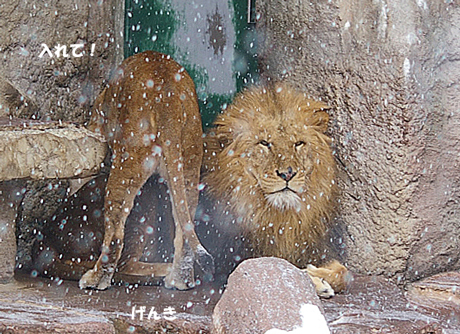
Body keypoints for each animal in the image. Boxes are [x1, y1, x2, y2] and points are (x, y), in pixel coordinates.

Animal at [78, 49, 215, 290]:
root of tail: (168, 94)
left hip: (130, 156)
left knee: (115, 231)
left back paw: (95, 279)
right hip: (189, 159)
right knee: (185, 224)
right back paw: (180, 280)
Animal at [201, 83, 348, 298]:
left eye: (298, 143)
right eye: (264, 143)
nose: (287, 174)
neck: (279, 217)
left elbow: (344, 272)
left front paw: (317, 274)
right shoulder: (225, 260)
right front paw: (312, 280)